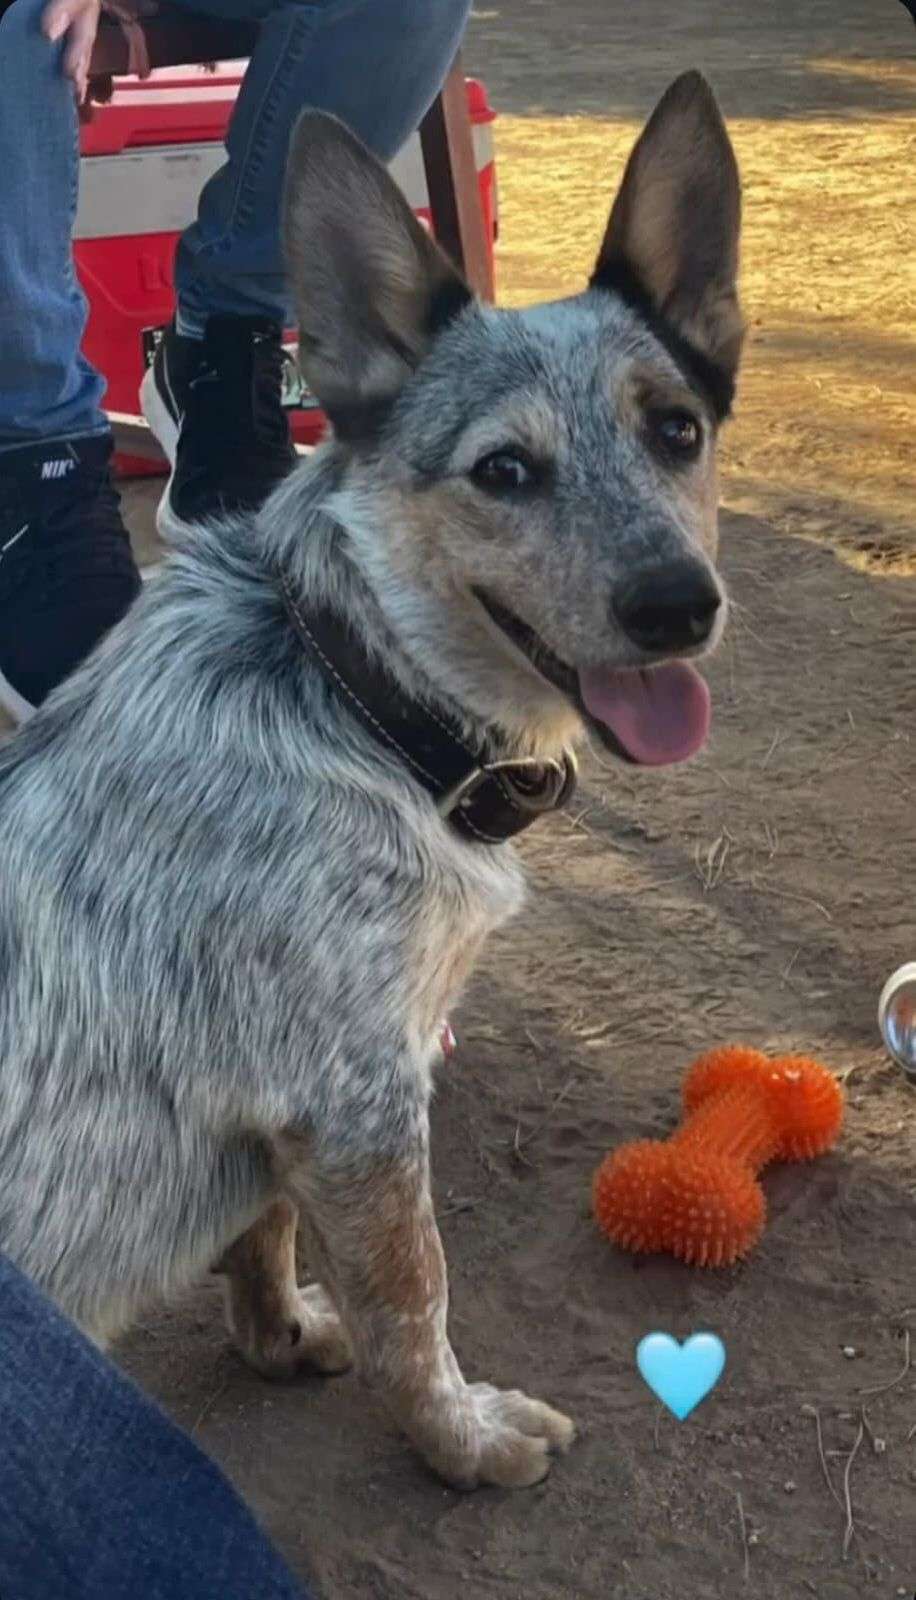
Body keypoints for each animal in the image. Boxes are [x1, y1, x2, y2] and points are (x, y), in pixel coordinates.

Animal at [0, 72, 743, 1484]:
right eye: (503, 469)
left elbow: (266, 1231)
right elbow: (416, 1297)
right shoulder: (357, 1097)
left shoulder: (291, 1115)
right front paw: (461, 1438)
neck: (351, 699)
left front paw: (277, 1332)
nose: (680, 605)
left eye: (676, 431)